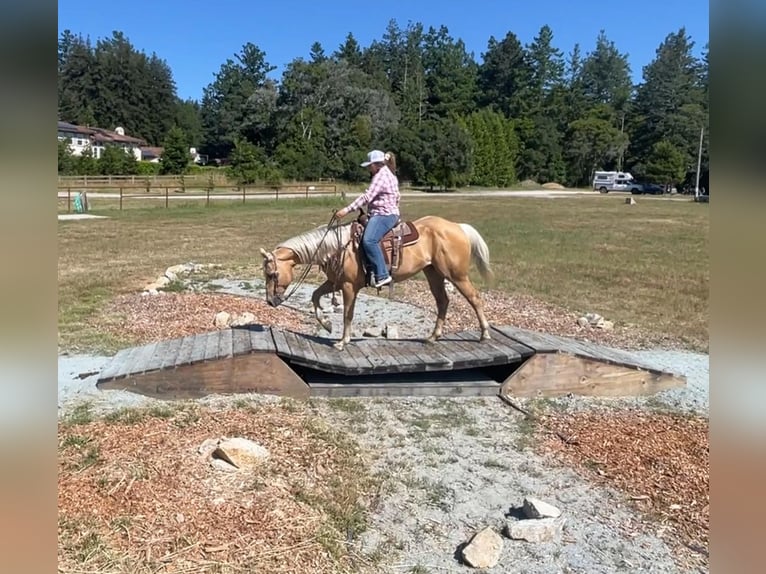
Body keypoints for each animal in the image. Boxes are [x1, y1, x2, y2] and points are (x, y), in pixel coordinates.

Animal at [259, 213, 494, 350]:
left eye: (272, 274)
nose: (270, 301)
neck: (338, 247)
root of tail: (458, 226)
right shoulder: (335, 281)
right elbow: (315, 297)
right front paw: (326, 325)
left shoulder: (349, 286)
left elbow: (347, 314)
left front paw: (342, 341)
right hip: (433, 273)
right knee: (443, 301)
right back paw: (433, 337)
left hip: (456, 275)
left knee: (474, 298)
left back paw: (485, 334)